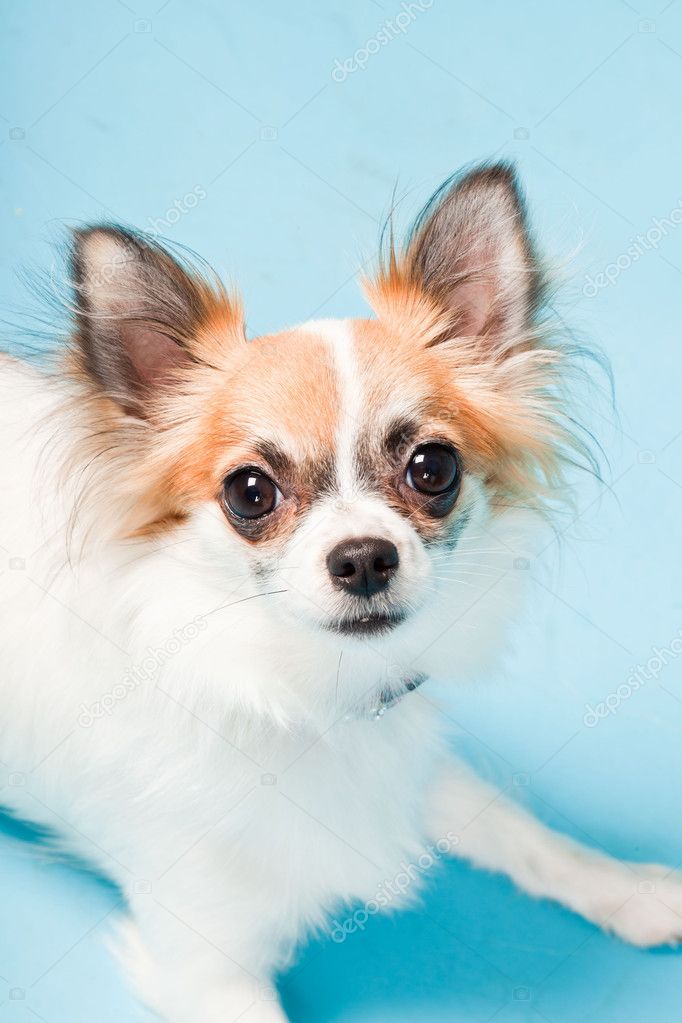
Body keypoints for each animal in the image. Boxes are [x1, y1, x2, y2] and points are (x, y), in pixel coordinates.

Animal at [1, 163, 682, 1018]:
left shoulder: (408, 760)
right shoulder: (205, 966)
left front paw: (627, 886)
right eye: (250, 491)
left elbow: (511, 822)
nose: (363, 558)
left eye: (432, 468)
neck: (305, 695)